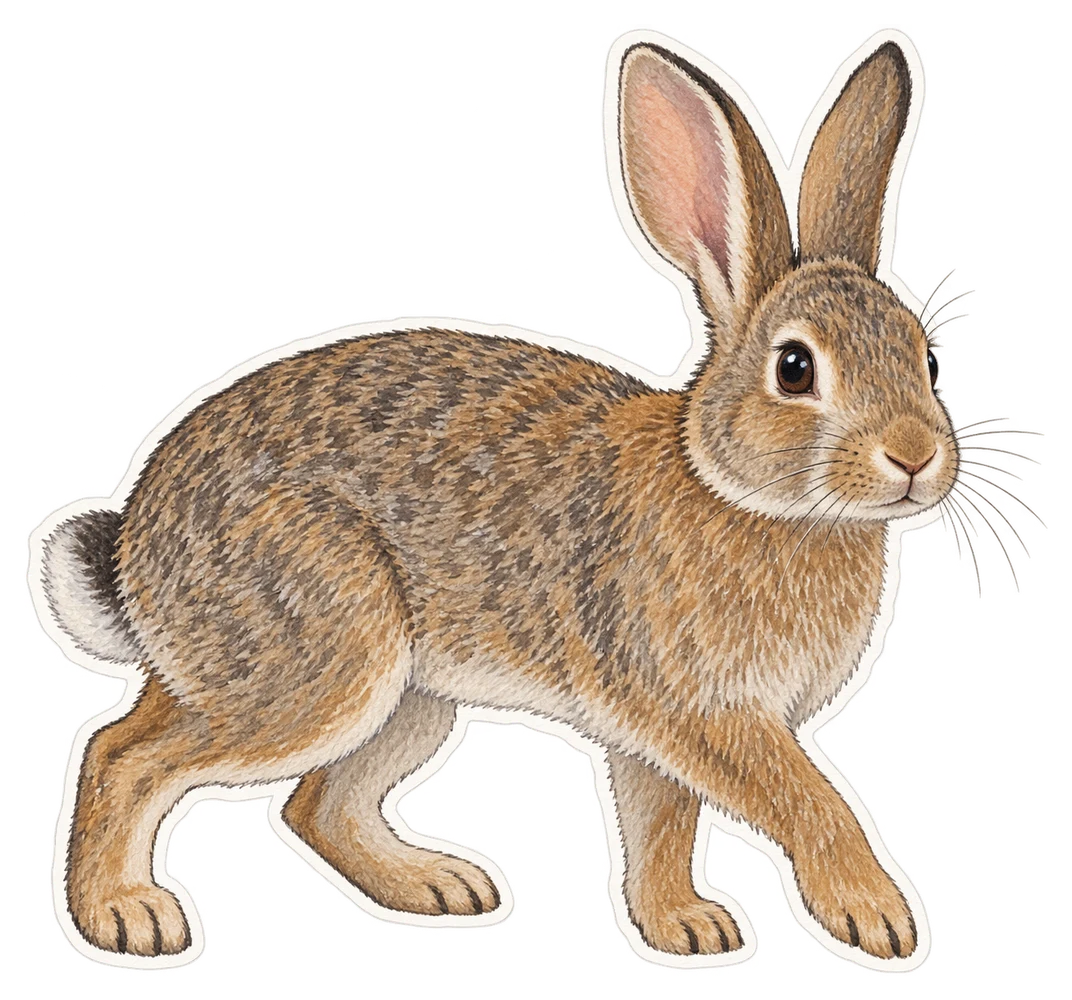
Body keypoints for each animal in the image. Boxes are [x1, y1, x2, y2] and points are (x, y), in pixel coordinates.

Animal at [38, 37, 947, 964]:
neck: (745, 492)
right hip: (318, 652)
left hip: (398, 693)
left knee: (307, 801)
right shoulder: (700, 709)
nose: (917, 456)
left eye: (924, 353)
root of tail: (137, 553)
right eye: (795, 369)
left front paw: (683, 927)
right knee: (121, 753)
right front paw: (875, 916)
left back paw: (438, 886)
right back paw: (126, 915)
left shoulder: (653, 731)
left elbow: (661, 823)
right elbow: (808, 800)